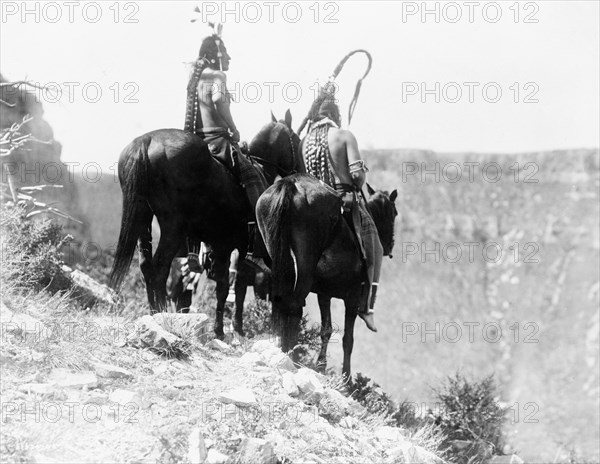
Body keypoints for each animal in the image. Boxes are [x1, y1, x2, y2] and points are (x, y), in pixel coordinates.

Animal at [109, 111, 300, 338]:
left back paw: (153, 312)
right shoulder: (233, 248)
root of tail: (146, 140)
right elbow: (230, 289)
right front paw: (226, 329)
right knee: (160, 268)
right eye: (296, 139)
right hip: (173, 227)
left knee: (147, 266)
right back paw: (161, 314)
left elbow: (228, 287)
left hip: (143, 218)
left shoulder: (222, 247)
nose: (299, 169)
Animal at [255, 173, 396, 376]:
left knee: (281, 302)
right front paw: (346, 377)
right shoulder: (353, 296)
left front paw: (321, 365)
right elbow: (348, 339)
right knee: (294, 305)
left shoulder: (324, 294)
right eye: (394, 213)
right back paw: (292, 355)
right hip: (305, 267)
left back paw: (282, 351)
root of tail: (291, 183)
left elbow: (326, 330)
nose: (390, 245)